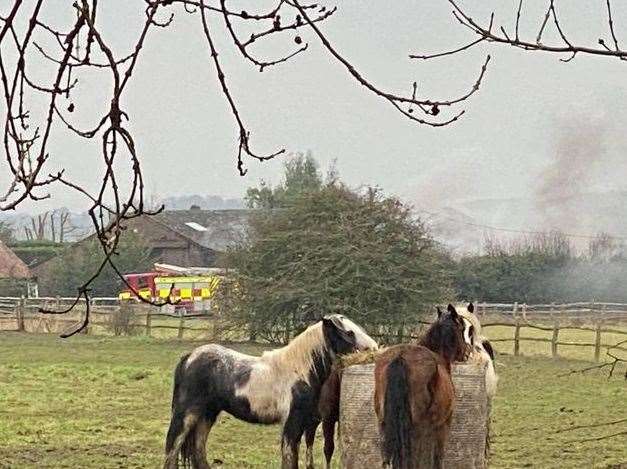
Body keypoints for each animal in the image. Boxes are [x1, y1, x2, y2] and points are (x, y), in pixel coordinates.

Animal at [163, 312, 378, 468]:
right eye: (349, 333)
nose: (374, 348)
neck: (299, 371)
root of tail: (189, 357)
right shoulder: (292, 424)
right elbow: (290, 459)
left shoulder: (305, 424)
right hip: (187, 414)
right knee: (172, 449)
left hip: (207, 415)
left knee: (198, 450)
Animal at [376, 306, 468, 466]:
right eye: (462, 328)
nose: (465, 354)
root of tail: (400, 357)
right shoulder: (442, 427)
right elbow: (436, 458)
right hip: (417, 431)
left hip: (384, 426)